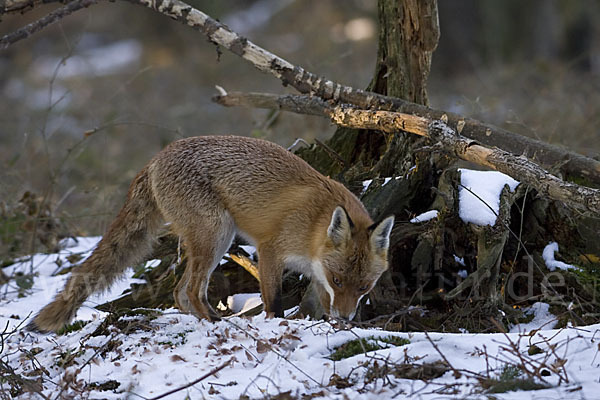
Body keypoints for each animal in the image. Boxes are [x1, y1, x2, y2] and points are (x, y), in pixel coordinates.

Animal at [29, 136, 394, 332]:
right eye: (339, 280)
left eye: (364, 287)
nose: (347, 318)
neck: (315, 224)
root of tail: (155, 159)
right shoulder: (270, 249)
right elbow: (274, 300)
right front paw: (278, 324)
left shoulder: (316, 273)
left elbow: (316, 306)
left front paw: (326, 324)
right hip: (217, 234)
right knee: (190, 291)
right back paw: (216, 323)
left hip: (214, 239)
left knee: (178, 293)